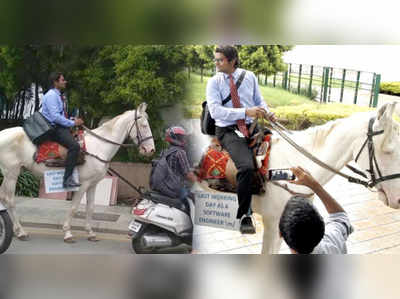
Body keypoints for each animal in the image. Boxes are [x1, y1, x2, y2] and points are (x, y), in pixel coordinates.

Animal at [0, 103, 155, 244]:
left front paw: (90, 233)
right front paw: (68, 233)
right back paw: (21, 232)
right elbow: (74, 208)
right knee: (10, 200)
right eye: (144, 125)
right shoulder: (83, 184)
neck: (99, 147)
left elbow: (90, 208)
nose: (151, 150)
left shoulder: (93, 184)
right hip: (11, 174)